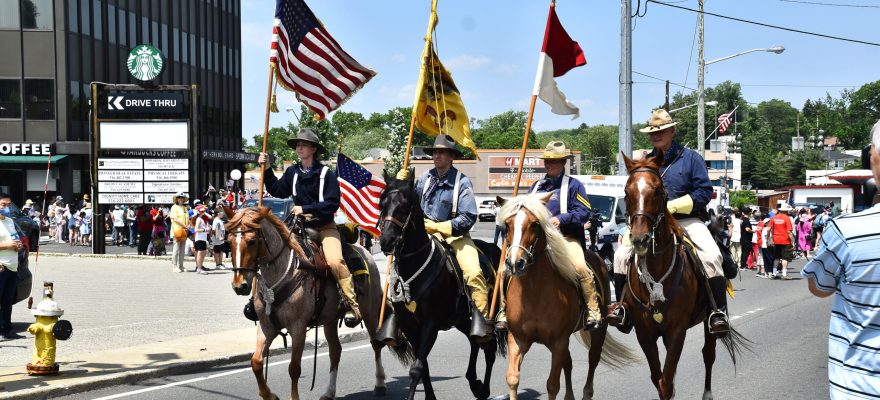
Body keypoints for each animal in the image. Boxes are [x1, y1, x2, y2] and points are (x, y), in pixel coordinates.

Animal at [223, 208, 410, 400]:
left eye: (252, 241)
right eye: (228, 241)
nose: (239, 286)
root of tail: (367, 253)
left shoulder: (298, 327)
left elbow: (294, 368)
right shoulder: (267, 326)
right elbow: (256, 362)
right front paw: (269, 395)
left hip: (370, 312)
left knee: (375, 343)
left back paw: (379, 383)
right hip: (330, 320)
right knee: (335, 351)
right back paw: (329, 392)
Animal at [376, 173, 502, 400]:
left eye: (405, 206)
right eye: (382, 204)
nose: (387, 240)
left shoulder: (430, 324)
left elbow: (417, 367)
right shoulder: (409, 326)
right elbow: (423, 365)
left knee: (488, 348)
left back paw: (483, 389)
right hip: (461, 319)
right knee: (474, 342)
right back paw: (474, 382)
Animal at [496, 192, 640, 398]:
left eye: (534, 224)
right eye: (507, 224)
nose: (515, 263)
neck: (534, 292)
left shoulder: (558, 342)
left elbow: (552, 385)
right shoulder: (518, 339)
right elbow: (513, 378)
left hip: (598, 330)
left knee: (593, 359)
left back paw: (587, 392)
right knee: (569, 363)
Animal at [620, 153, 748, 400]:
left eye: (657, 191)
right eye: (626, 191)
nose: (640, 239)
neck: (657, 272)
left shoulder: (677, 331)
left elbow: (666, 382)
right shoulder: (644, 333)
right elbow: (660, 379)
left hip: (710, 319)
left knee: (709, 354)